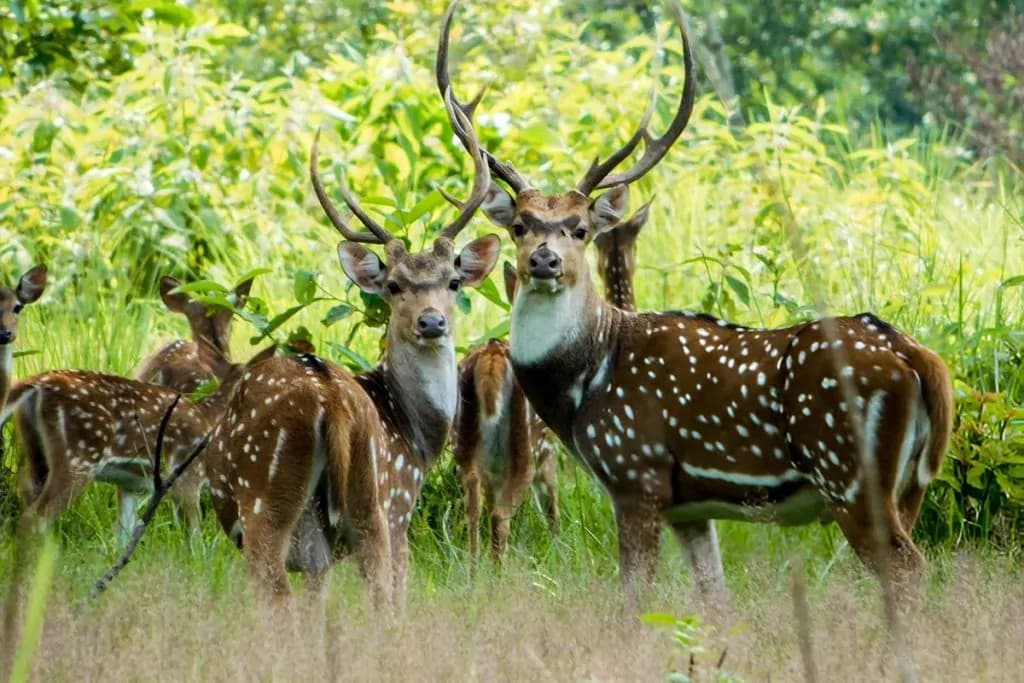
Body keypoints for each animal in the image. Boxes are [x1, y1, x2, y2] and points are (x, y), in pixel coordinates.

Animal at [1, 337, 271, 535]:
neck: (209, 419)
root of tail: (34, 384)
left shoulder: (129, 484)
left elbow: (122, 534)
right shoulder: (187, 474)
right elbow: (193, 535)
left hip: (33, 450)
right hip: (78, 454)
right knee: (35, 518)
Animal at [202, 92, 499, 606]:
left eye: (454, 280)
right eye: (394, 286)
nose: (431, 321)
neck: (416, 437)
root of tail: (331, 403)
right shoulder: (392, 510)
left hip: (288, 497)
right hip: (365, 504)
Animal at [438, 0, 954, 597]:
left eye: (580, 228)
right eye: (520, 225)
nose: (544, 261)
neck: (583, 382)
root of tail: (917, 358)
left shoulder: (635, 472)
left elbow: (633, 598)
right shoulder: (689, 507)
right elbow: (713, 596)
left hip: (847, 469)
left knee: (907, 567)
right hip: (911, 483)